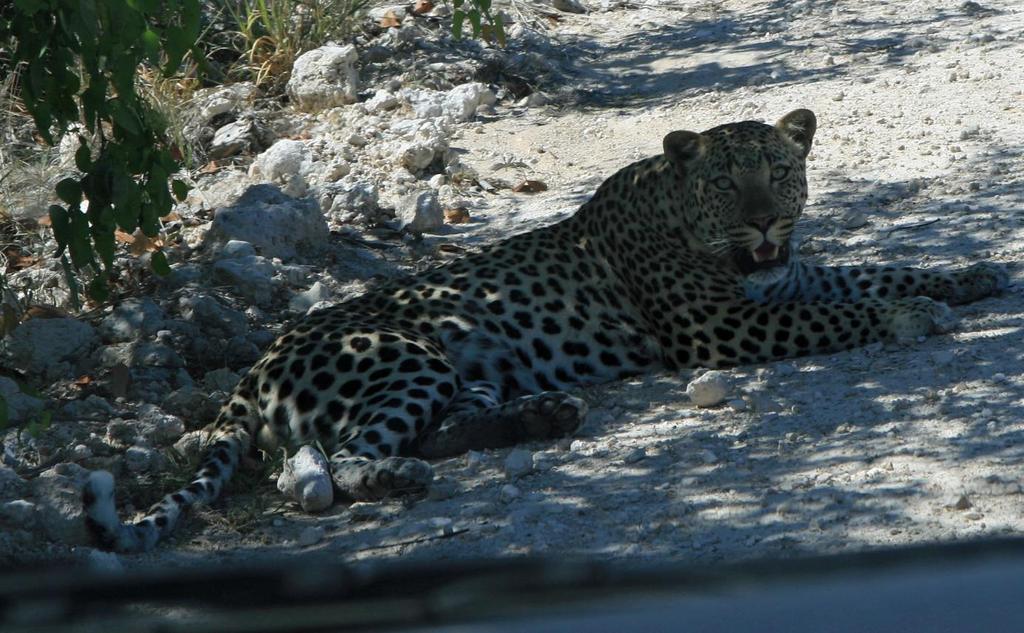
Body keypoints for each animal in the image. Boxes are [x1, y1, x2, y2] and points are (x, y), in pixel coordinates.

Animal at [81, 107, 1007, 549]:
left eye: (780, 171)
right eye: (727, 184)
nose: (765, 222)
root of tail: (254, 365)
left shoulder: (790, 279)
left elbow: (876, 269)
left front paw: (970, 274)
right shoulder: (723, 328)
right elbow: (844, 309)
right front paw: (911, 312)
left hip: (470, 367)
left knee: (443, 427)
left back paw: (546, 415)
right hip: (407, 356)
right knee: (333, 464)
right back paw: (402, 478)